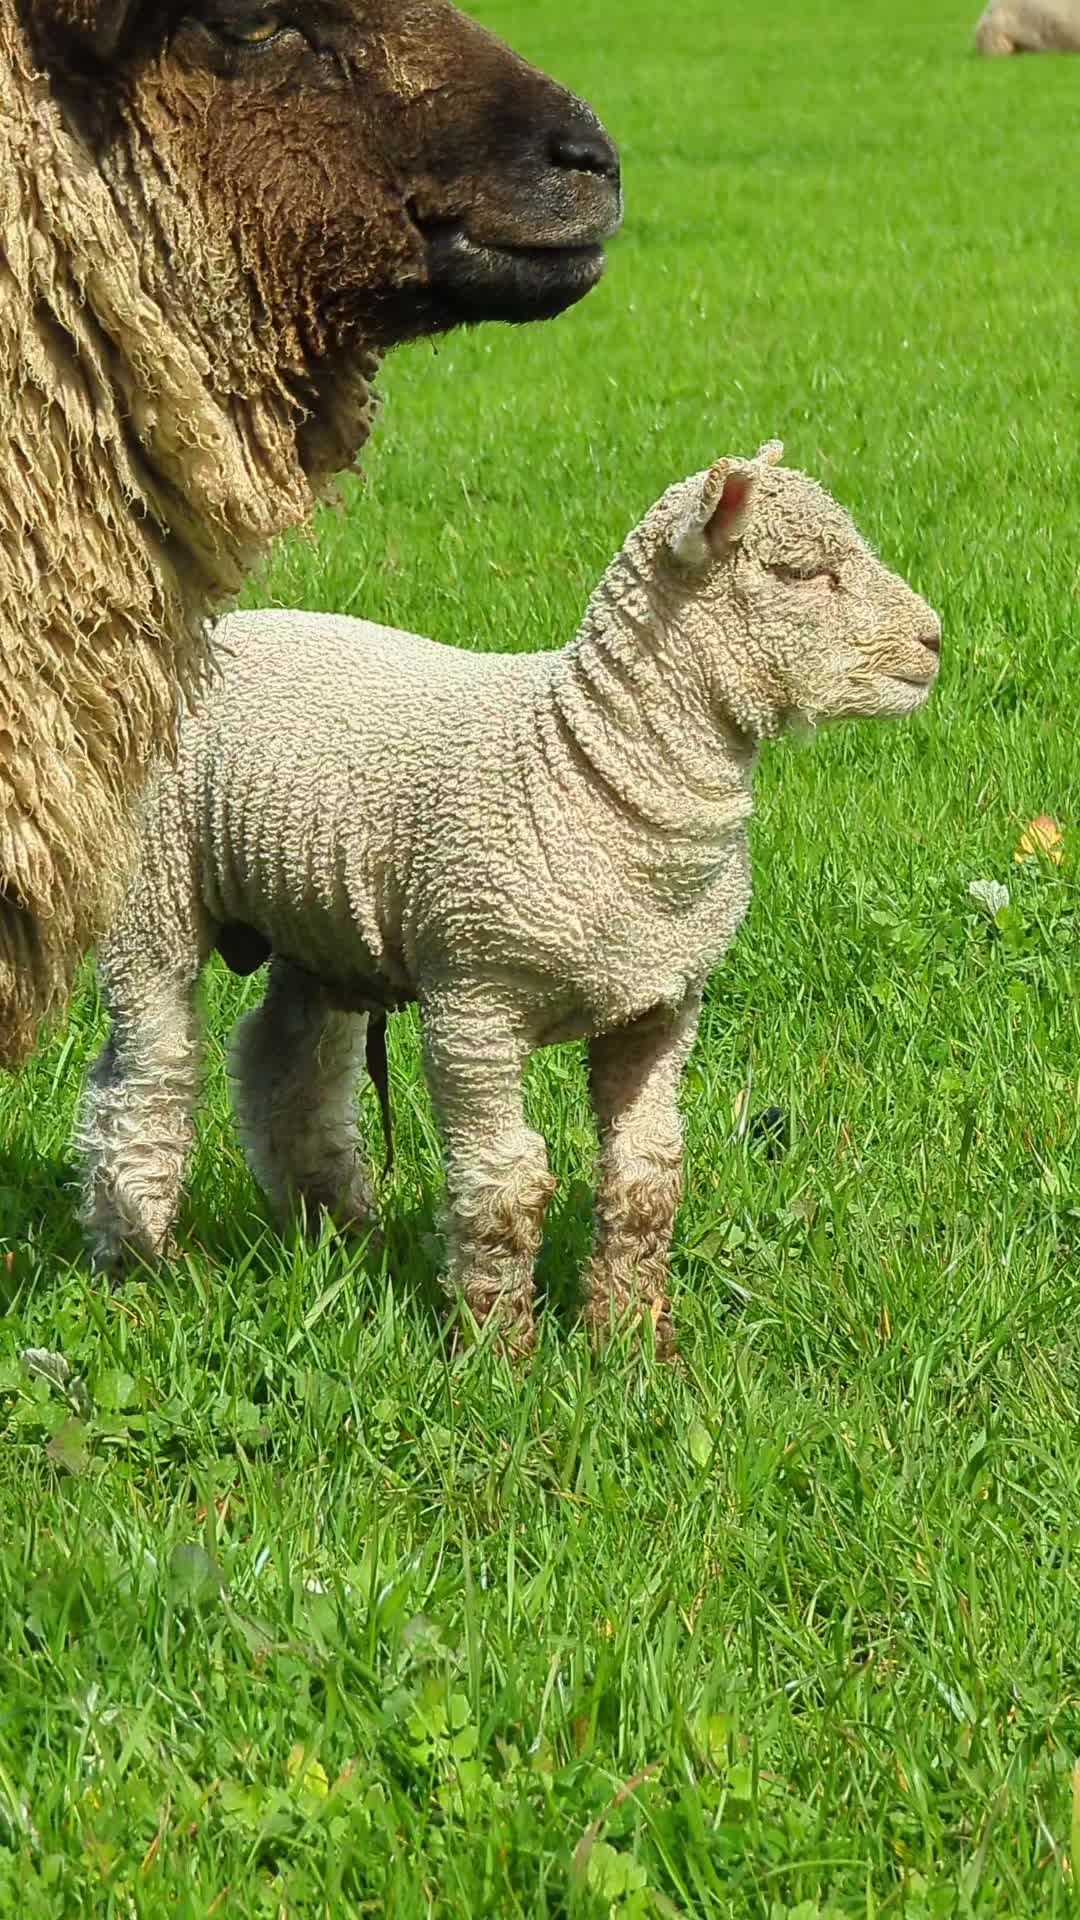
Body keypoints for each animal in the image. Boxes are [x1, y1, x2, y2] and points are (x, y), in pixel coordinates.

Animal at [78, 442, 941, 1356]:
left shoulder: (662, 1005)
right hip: (152, 893)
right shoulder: (475, 1000)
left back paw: (336, 1230)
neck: (591, 765)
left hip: (313, 918)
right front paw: (496, 1348)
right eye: (800, 573)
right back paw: (139, 1252)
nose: (933, 639)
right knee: (145, 1078)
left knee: (289, 1068)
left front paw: (630, 1341)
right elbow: (503, 1184)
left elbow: (646, 1176)